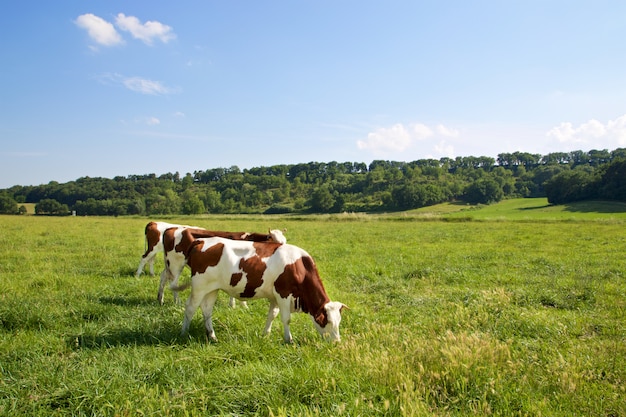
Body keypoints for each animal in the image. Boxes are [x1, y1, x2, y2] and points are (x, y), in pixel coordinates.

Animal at [157, 226, 286, 304]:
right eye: (273, 239)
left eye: (284, 241)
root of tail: (171, 228)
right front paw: (237, 304)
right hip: (175, 263)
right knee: (173, 282)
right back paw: (177, 302)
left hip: (169, 263)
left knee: (163, 277)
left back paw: (160, 299)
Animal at [174, 236, 346, 342]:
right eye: (327, 321)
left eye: (339, 321)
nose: (337, 342)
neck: (299, 267)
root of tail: (201, 240)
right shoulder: (283, 293)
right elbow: (286, 318)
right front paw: (288, 339)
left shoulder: (274, 297)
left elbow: (272, 315)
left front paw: (266, 335)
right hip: (199, 286)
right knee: (190, 308)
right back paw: (183, 333)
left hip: (212, 288)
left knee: (207, 309)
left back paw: (212, 336)